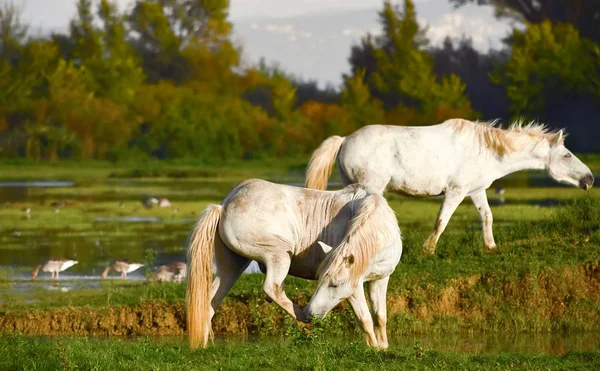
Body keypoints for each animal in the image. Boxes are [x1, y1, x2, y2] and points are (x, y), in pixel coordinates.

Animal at [188, 179, 404, 350]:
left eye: (334, 284)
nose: (311, 314)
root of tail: (224, 205)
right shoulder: (354, 286)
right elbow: (364, 318)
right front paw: (373, 348)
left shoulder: (380, 279)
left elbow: (380, 316)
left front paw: (383, 347)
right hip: (279, 254)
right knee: (272, 287)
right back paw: (302, 321)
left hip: (231, 267)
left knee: (209, 302)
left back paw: (204, 346)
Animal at [308, 120, 592, 256]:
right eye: (567, 155)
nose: (589, 179)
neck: (487, 149)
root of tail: (345, 139)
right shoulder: (456, 192)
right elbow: (441, 221)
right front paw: (428, 250)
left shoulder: (476, 191)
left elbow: (487, 217)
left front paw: (491, 247)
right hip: (370, 187)